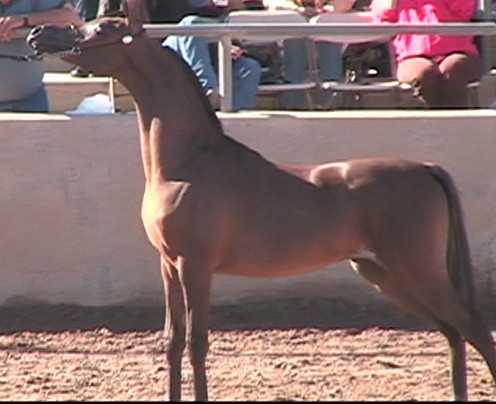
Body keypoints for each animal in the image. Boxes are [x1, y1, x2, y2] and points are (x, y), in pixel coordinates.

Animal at [28, 1, 496, 400]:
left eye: (103, 28)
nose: (37, 34)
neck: (190, 161)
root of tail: (426, 167)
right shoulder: (168, 266)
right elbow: (173, 342)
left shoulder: (195, 266)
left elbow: (197, 343)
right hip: (384, 273)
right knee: (454, 334)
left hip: (416, 270)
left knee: (475, 331)